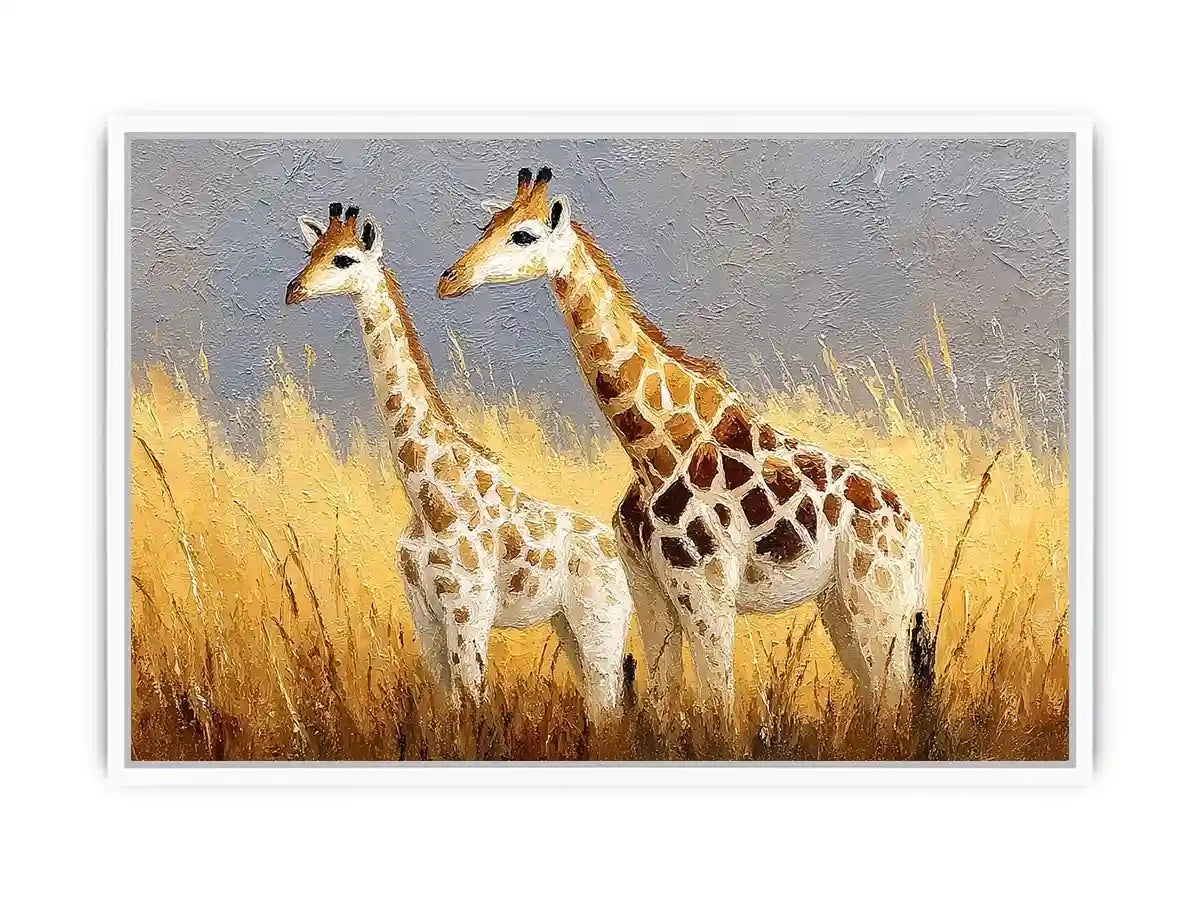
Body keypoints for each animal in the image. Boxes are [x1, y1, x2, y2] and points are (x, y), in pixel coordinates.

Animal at [285, 202, 633, 721]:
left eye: (343, 259)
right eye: (312, 252)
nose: (294, 289)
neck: (428, 499)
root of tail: (620, 550)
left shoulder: (468, 610)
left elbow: (472, 704)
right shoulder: (423, 610)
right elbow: (446, 706)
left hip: (601, 620)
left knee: (608, 703)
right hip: (566, 623)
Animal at [437, 168, 934, 720]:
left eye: (523, 235)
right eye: (487, 226)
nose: (450, 278)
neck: (651, 448)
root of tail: (911, 527)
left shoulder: (706, 588)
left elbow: (719, 704)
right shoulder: (649, 590)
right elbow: (661, 697)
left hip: (879, 596)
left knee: (893, 694)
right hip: (841, 604)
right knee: (878, 693)